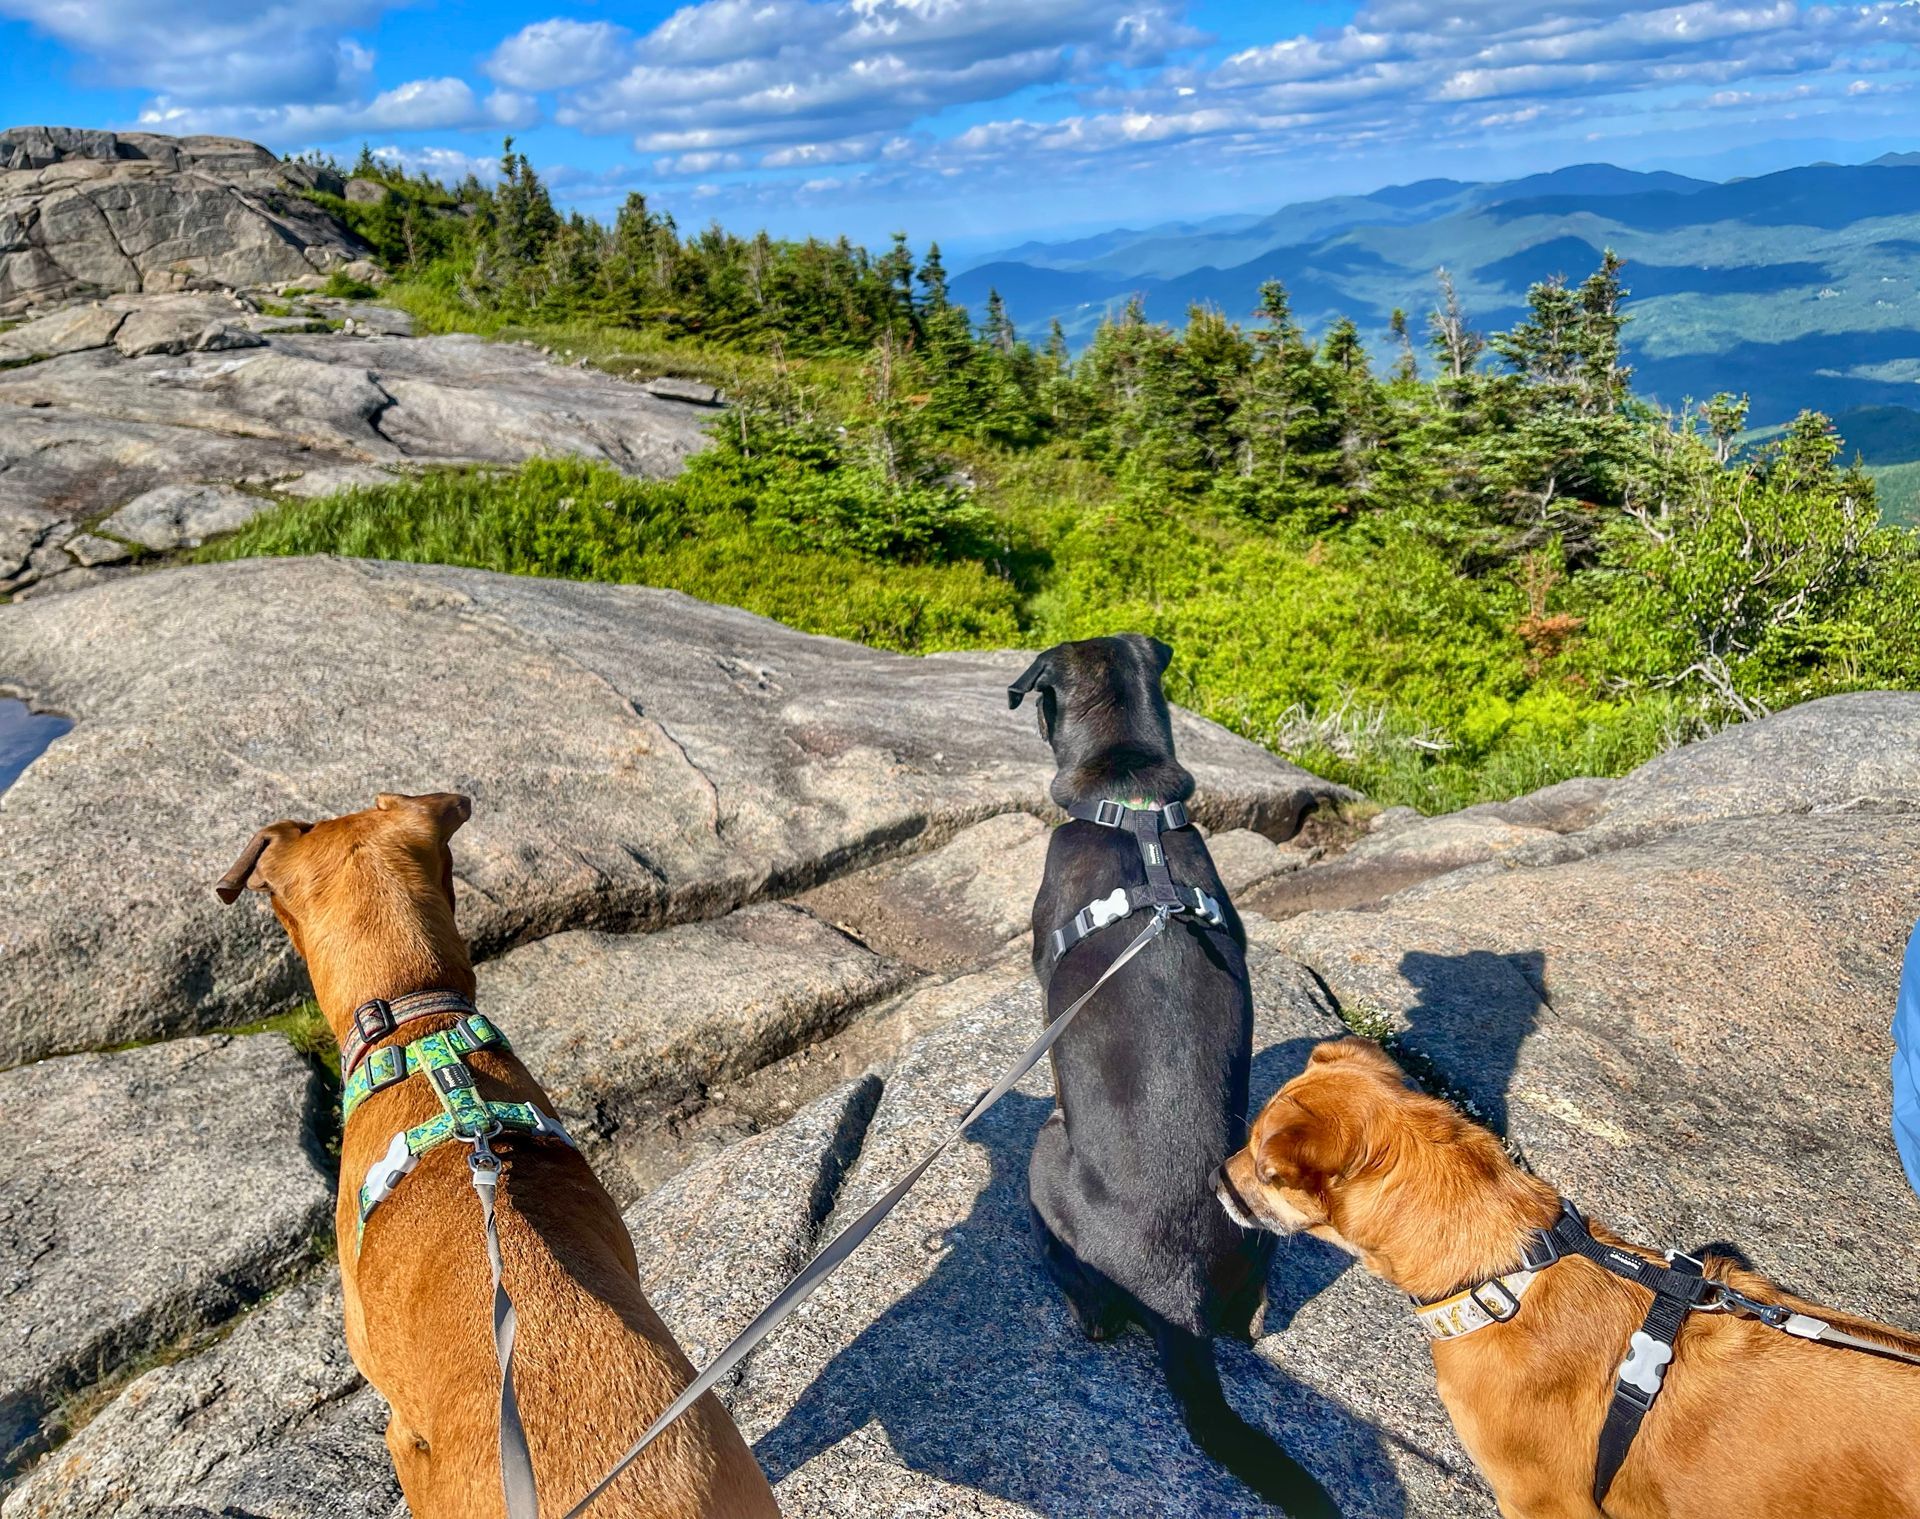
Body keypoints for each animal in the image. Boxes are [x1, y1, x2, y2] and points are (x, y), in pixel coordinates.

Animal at [1013, 637, 1328, 1519]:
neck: (1136, 807)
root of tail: (1176, 1291)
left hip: (1043, 1154)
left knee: (1090, 1306)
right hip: (1254, 1226)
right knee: (1254, 1312)